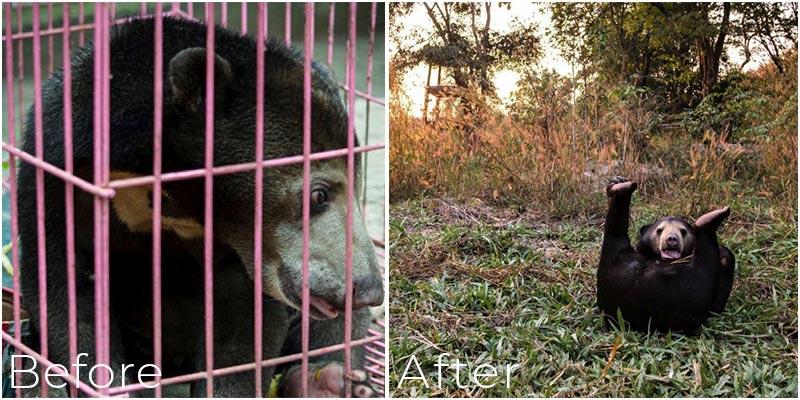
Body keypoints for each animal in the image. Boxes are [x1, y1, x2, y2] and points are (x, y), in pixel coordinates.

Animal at [596, 177, 736, 332]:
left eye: (683, 231)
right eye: (659, 230)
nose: (672, 240)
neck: (660, 260)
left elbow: (718, 304)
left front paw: (724, 255)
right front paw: (615, 181)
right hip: (614, 264)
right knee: (615, 234)